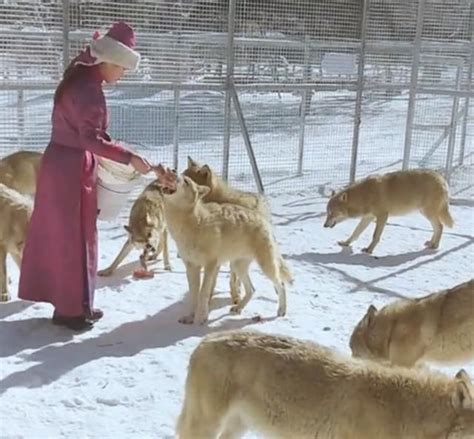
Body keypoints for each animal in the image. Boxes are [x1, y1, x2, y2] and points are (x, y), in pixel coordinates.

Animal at [162, 176, 292, 326]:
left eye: (186, 181)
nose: (173, 172)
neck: (194, 223)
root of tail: (263, 218)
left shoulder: (211, 266)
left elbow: (204, 293)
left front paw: (201, 318)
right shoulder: (191, 267)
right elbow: (194, 295)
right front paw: (190, 317)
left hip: (265, 267)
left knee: (280, 284)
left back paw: (282, 311)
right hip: (238, 267)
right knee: (252, 289)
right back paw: (238, 308)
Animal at [324, 169, 454, 254]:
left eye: (332, 213)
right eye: (327, 212)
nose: (324, 225)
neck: (364, 195)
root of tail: (442, 179)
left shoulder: (382, 216)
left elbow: (375, 236)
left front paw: (369, 250)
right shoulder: (368, 217)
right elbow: (355, 233)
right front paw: (346, 243)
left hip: (428, 213)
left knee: (440, 226)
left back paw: (435, 245)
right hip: (425, 213)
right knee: (437, 228)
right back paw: (431, 243)